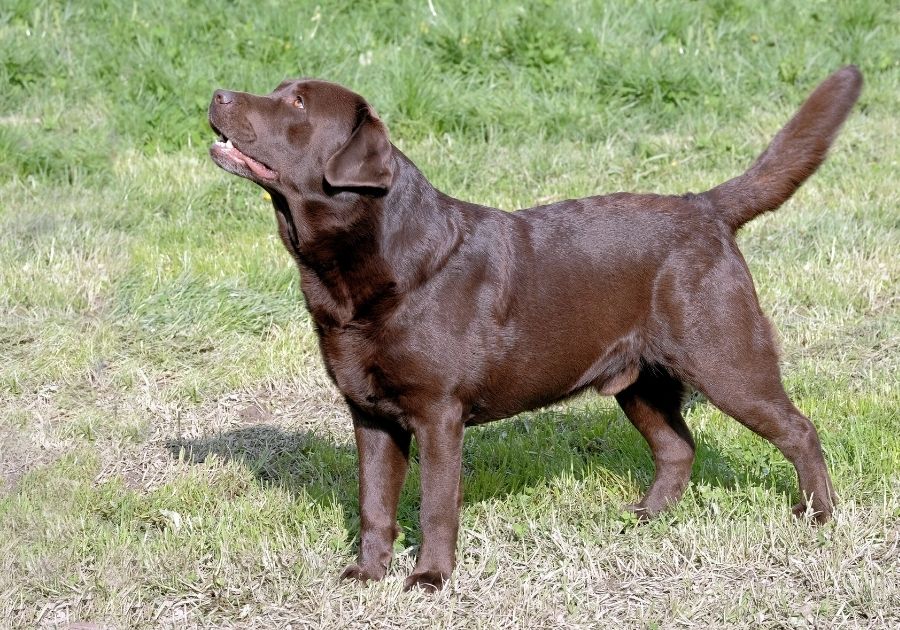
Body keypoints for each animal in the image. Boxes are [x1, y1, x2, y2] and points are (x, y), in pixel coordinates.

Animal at [207, 66, 860, 592]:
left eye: (296, 105)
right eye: (276, 90)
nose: (217, 94)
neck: (376, 257)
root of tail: (704, 207)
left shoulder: (438, 413)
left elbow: (437, 503)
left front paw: (430, 579)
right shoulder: (369, 414)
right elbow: (374, 504)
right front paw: (368, 574)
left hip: (727, 359)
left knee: (799, 429)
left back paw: (819, 515)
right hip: (639, 380)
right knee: (678, 447)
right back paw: (646, 517)